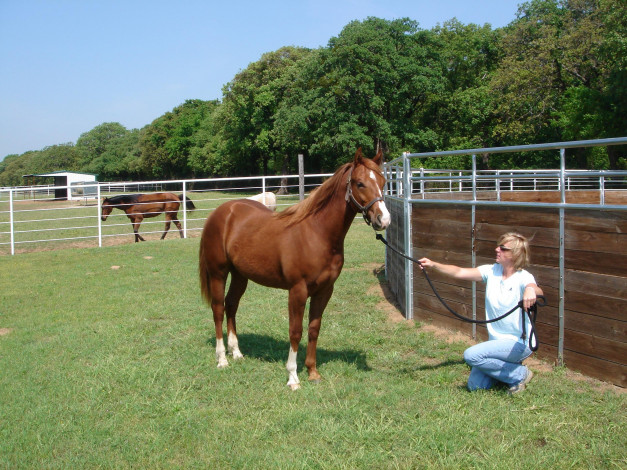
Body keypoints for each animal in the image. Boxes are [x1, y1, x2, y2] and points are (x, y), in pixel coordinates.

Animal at [199, 148, 390, 390]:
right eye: (360, 183)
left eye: (383, 182)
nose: (383, 219)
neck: (316, 233)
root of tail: (222, 211)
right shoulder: (297, 291)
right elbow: (295, 331)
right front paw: (293, 377)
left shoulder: (324, 290)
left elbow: (314, 328)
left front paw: (313, 372)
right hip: (218, 273)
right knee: (218, 309)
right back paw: (222, 359)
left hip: (240, 275)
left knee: (231, 305)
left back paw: (237, 352)